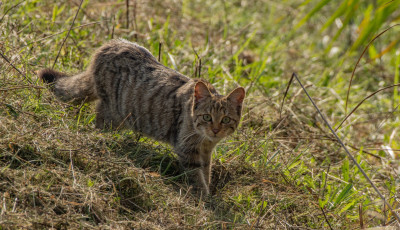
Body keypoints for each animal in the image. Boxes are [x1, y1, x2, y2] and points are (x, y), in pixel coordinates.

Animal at [38, 38, 244, 195]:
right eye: (207, 117)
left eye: (225, 119)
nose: (215, 130)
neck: (204, 139)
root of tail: (108, 46)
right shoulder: (187, 148)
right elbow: (196, 175)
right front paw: (204, 197)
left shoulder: (206, 151)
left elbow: (206, 171)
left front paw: (207, 191)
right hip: (114, 115)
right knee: (98, 123)